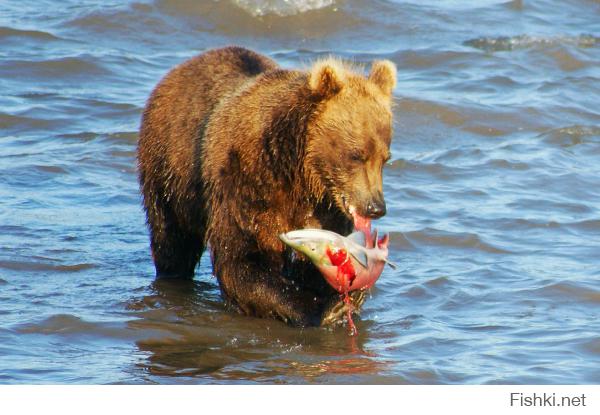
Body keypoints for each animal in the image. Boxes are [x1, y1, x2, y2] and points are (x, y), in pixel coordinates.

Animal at [138, 46, 396, 328]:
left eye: (385, 158)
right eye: (356, 155)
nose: (375, 207)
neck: (297, 172)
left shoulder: (324, 210)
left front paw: (340, 298)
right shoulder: (247, 184)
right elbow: (243, 258)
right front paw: (322, 309)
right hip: (169, 169)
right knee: (171, 239)